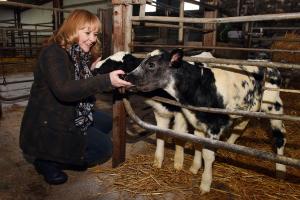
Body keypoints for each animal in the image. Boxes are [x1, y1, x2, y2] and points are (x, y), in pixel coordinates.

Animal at [125, 48, 288, 194]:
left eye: (151, 64)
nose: (127, 77)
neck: (200, 86)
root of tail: (268, 63)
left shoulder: (214, 126)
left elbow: (208, 155)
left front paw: (205, 184)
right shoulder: (196, 121)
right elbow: (198, 144)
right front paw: (195, 167)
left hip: (274, 107)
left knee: (280, 136)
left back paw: (281, 169)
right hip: (248, 108)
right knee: (241, 126)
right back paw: (228, 145)